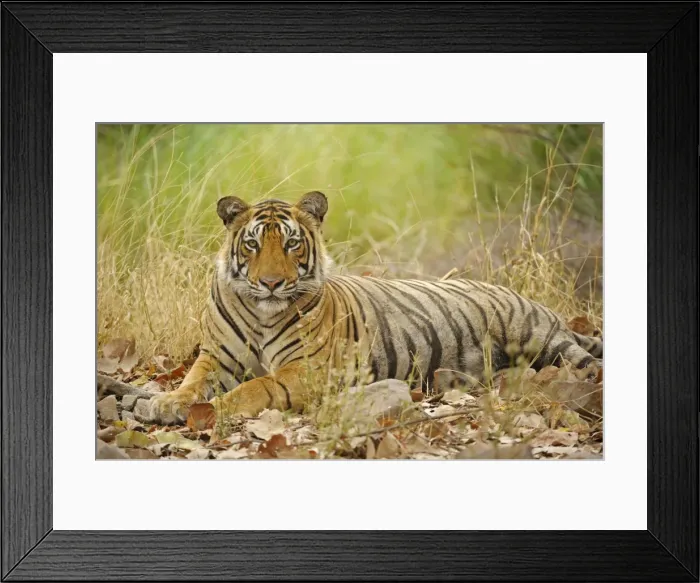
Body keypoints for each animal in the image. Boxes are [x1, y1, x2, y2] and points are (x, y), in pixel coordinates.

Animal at [149, 191, 602, 424]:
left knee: (589, 366)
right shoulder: (216, 357)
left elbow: (255, 387)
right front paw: (168, 402)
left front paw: (215, 410)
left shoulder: (307, 368)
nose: (271, 283)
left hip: (542, 339)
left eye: (292, 244)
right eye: (253, 244)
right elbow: (192, 380)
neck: (262, 312)